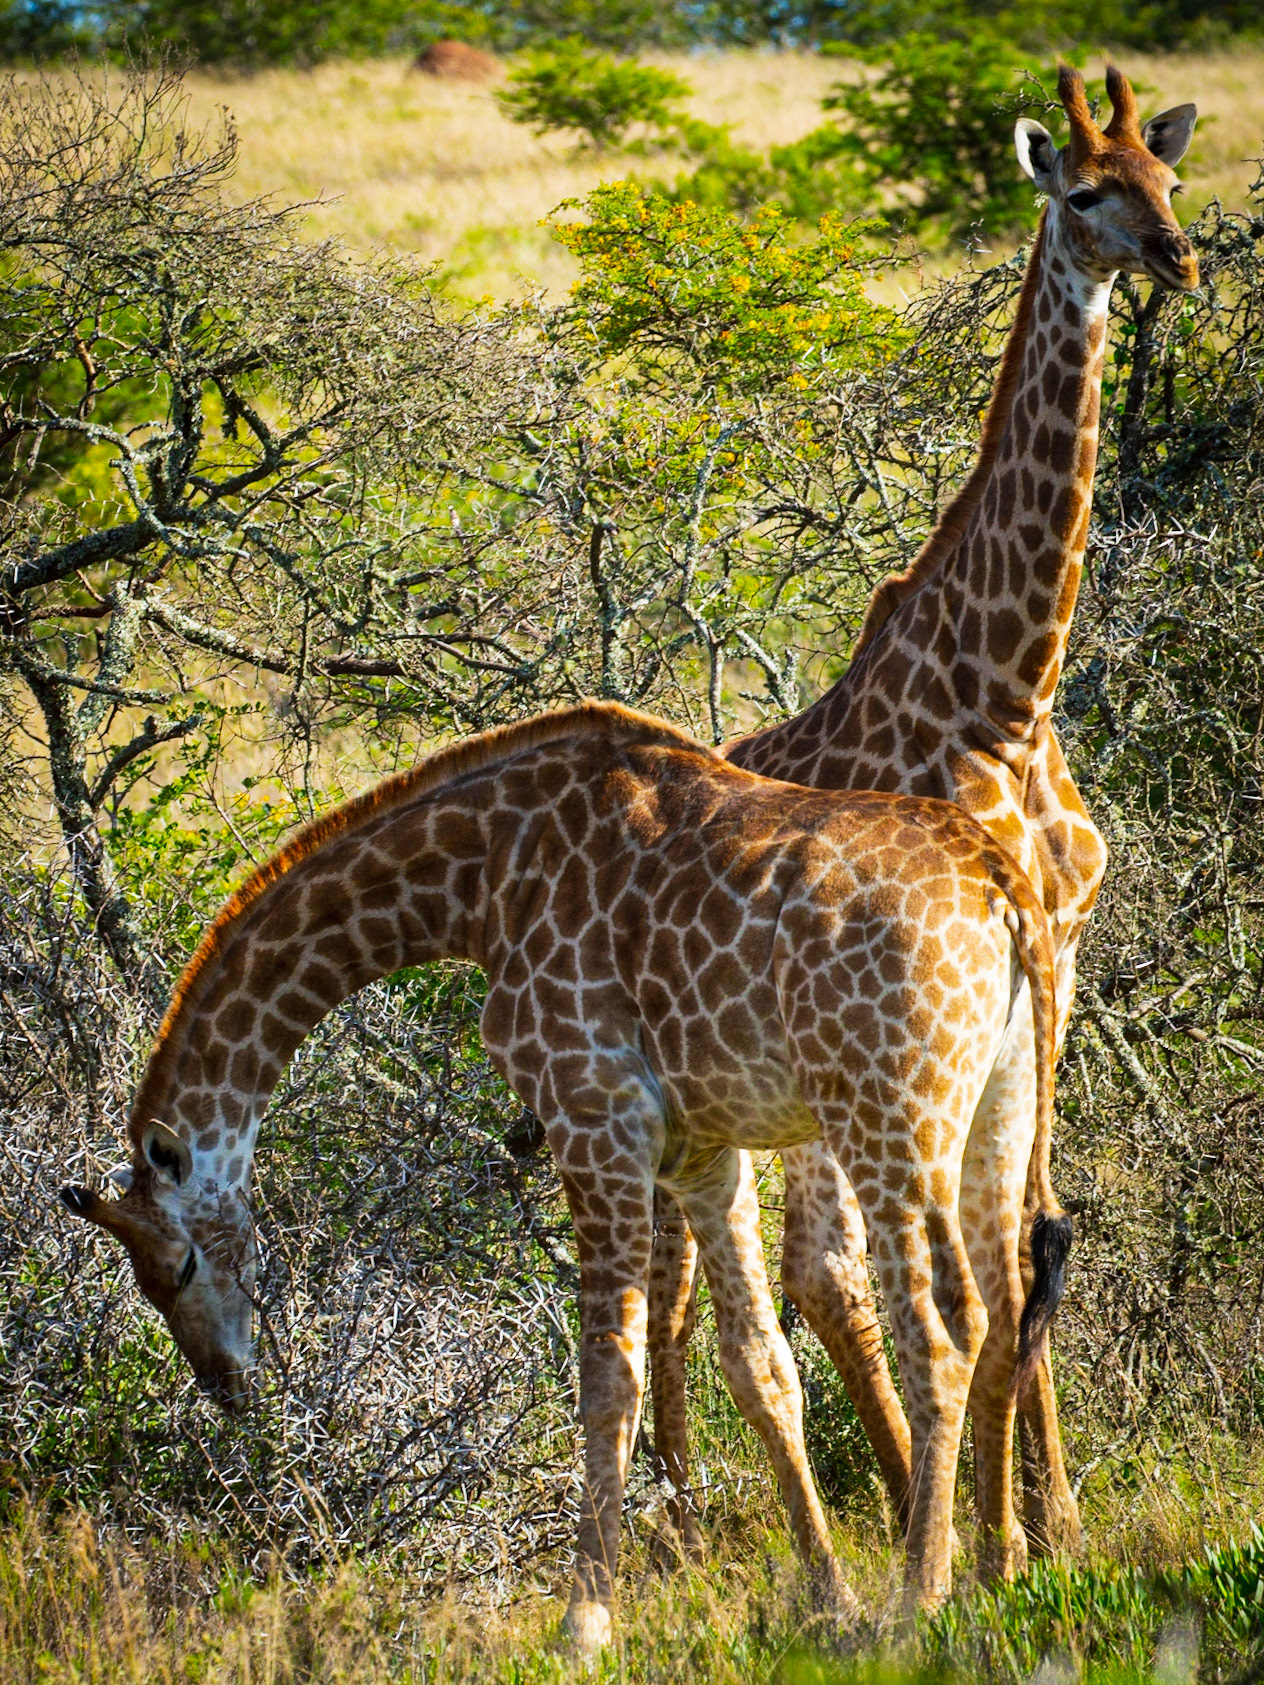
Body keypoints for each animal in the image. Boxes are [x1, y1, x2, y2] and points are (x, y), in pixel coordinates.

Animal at [59, 702, 1069, 1646]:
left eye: (180, 1265)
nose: (227, 1386)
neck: (477, 883)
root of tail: (1003, 882)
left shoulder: (595, 1119)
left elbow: (606, 1377)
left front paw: (585, 1619)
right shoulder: (704, 1152)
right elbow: (758, 1367)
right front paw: (829, 1599)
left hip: (888, 1111)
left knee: (943, 1325)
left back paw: (922, 1596)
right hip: (1000, 1104)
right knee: (1009, 1296)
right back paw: (1002, 1569)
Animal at [645, 64, 1199, 1569]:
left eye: (1170, 180)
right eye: (1086, 193)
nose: (1181, 259)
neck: (1005, 686)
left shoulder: (1059, 945)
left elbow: (1032, 1236)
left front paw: (1047, 1528)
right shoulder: (1004, 963)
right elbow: (1004, 1252)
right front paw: (1022, 1541)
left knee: (809, 1270)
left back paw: (880, 1504)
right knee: (774, 1272)